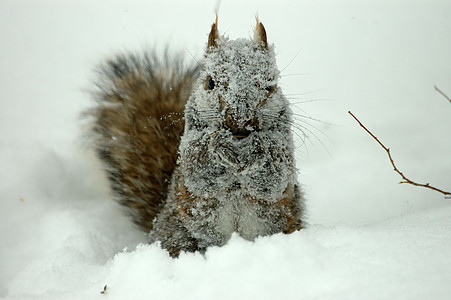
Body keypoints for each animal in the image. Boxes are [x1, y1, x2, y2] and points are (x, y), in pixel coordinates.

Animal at [88, 17, 308, 255]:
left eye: (270, 86)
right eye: (210, 82)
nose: (240, 122)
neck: (240, 148)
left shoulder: (284, 151)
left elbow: (273, 178)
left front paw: (259, 147)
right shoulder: (190, 151)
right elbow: (201, 172)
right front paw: (218, 145)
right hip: (177, 232)